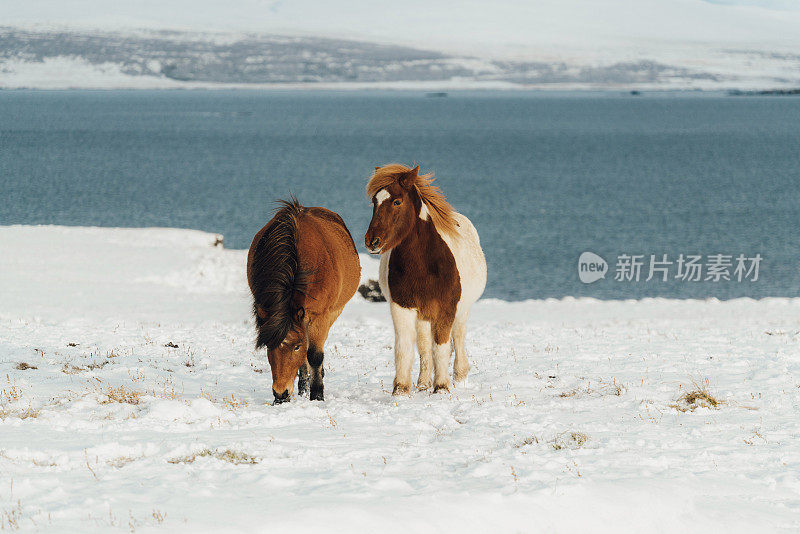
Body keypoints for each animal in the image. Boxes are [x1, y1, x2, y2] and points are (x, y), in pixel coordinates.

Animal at [247, 199, 360, 404]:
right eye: (269, 346)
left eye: (296, 346)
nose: (280, 393)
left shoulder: (320, 317)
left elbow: (314, 355)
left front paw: (317, 394)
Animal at [364, 165, 488, 396]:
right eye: (375, 202)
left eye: (397, 202)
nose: (372, 241)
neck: (425, 265)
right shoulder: (403, 307)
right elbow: (405, 348)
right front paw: (401, 389)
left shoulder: (447, 309)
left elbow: (442, 346)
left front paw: (442, 387)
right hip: (423, 316)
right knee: (423, 346)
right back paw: (423, 383)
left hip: (462, 309)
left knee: (458, 337)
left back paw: (460, 377)